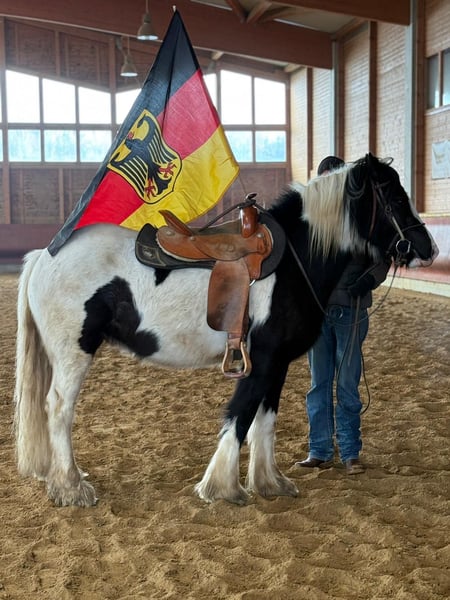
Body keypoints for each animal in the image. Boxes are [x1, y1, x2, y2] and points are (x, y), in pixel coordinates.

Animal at [14, 153, 438, 507]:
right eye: (394, 198)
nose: (428, 247)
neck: (294, 260)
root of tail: (45, 255)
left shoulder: (277, 363)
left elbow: (265, 419)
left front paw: (269, 483)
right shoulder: (260, 359)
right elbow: (241, 415)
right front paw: (221, 487)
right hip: (73, 352)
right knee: (59, 408)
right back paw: (71, 487)